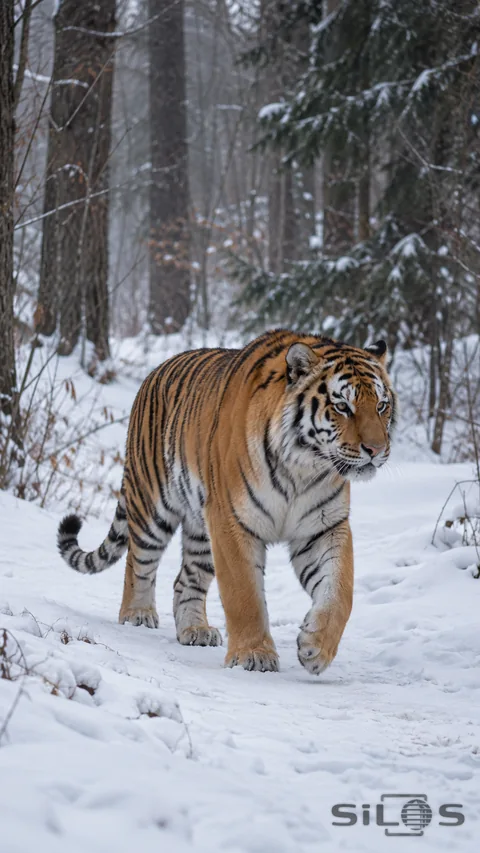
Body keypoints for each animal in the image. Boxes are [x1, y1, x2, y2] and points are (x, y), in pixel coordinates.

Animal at [57, 329, 397, 674]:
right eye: (342, 406)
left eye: (382, 405)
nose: (376, 450)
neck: (304, 467)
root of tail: (154, 372)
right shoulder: (233, 521)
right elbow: (244, 594)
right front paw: (254, 654)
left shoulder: (322, 527)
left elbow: (340, 591)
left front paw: (316, 648)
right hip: (152, 506)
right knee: (137, 563)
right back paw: (136, 614)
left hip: (202, 530)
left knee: (185, 580)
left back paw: (195, 629)